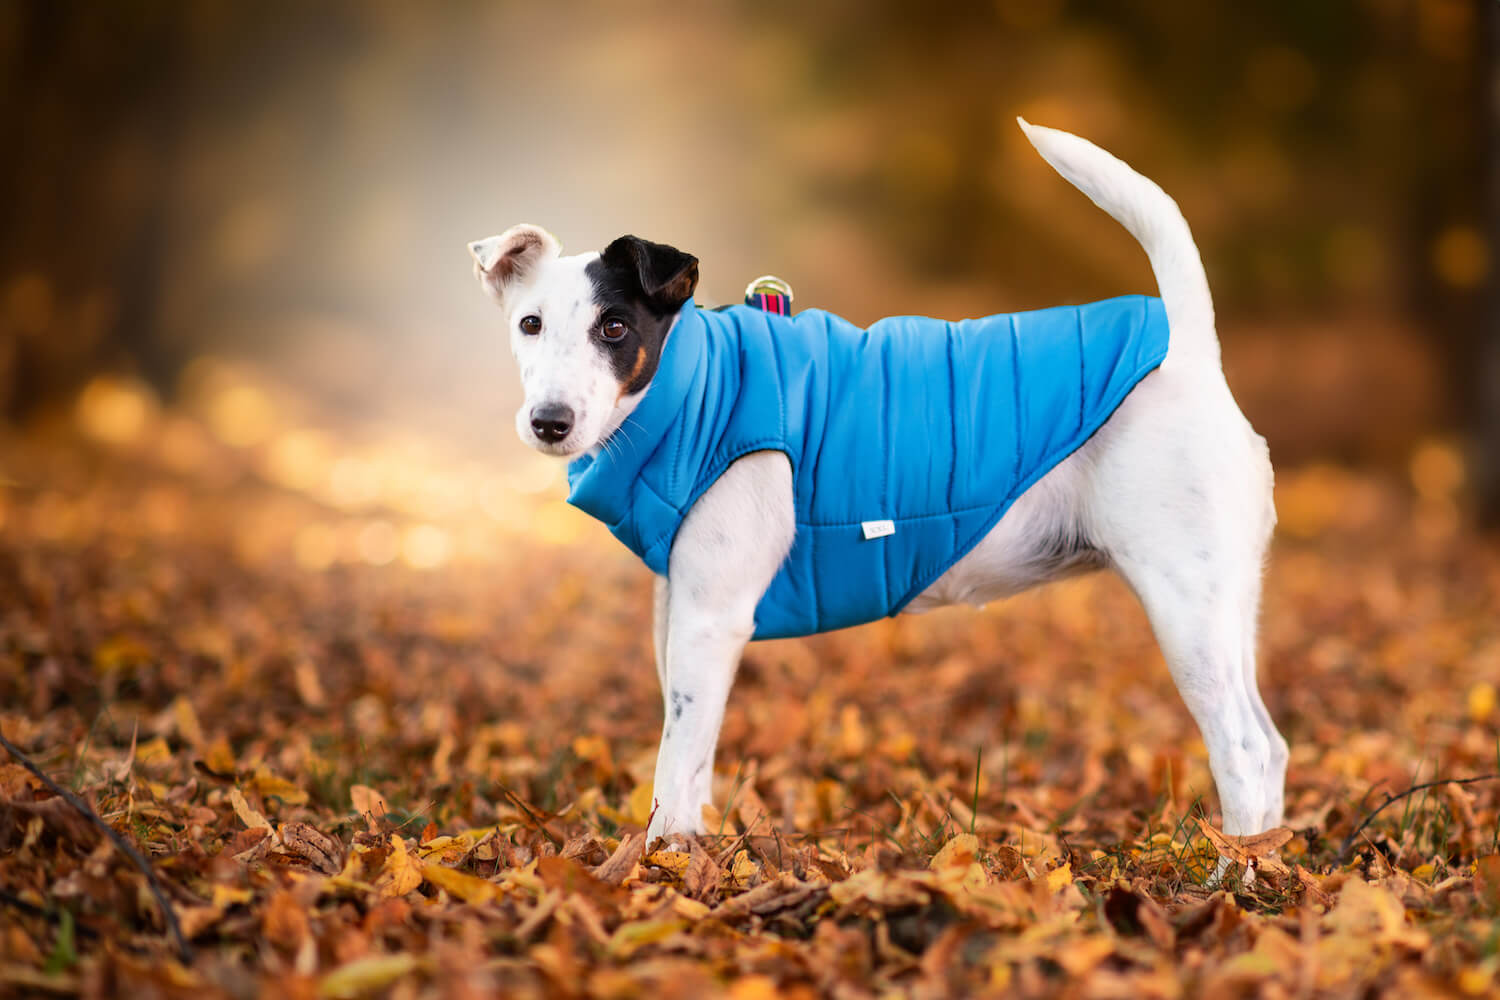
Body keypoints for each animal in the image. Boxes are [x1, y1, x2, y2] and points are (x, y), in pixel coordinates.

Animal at [468, 121, 1290, 851]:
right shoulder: (681, 610)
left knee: (1243, 749)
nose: (549, 422)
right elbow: (691, 758)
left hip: (1184, 604)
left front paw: (663, 862)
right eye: (530, 324)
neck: (695, 389)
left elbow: (678, 761)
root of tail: (1187, 349)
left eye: (614, 329)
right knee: (1272, 745)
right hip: (1228, 609)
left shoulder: (713, 619)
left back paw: (1232, 875)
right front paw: (692, 849)